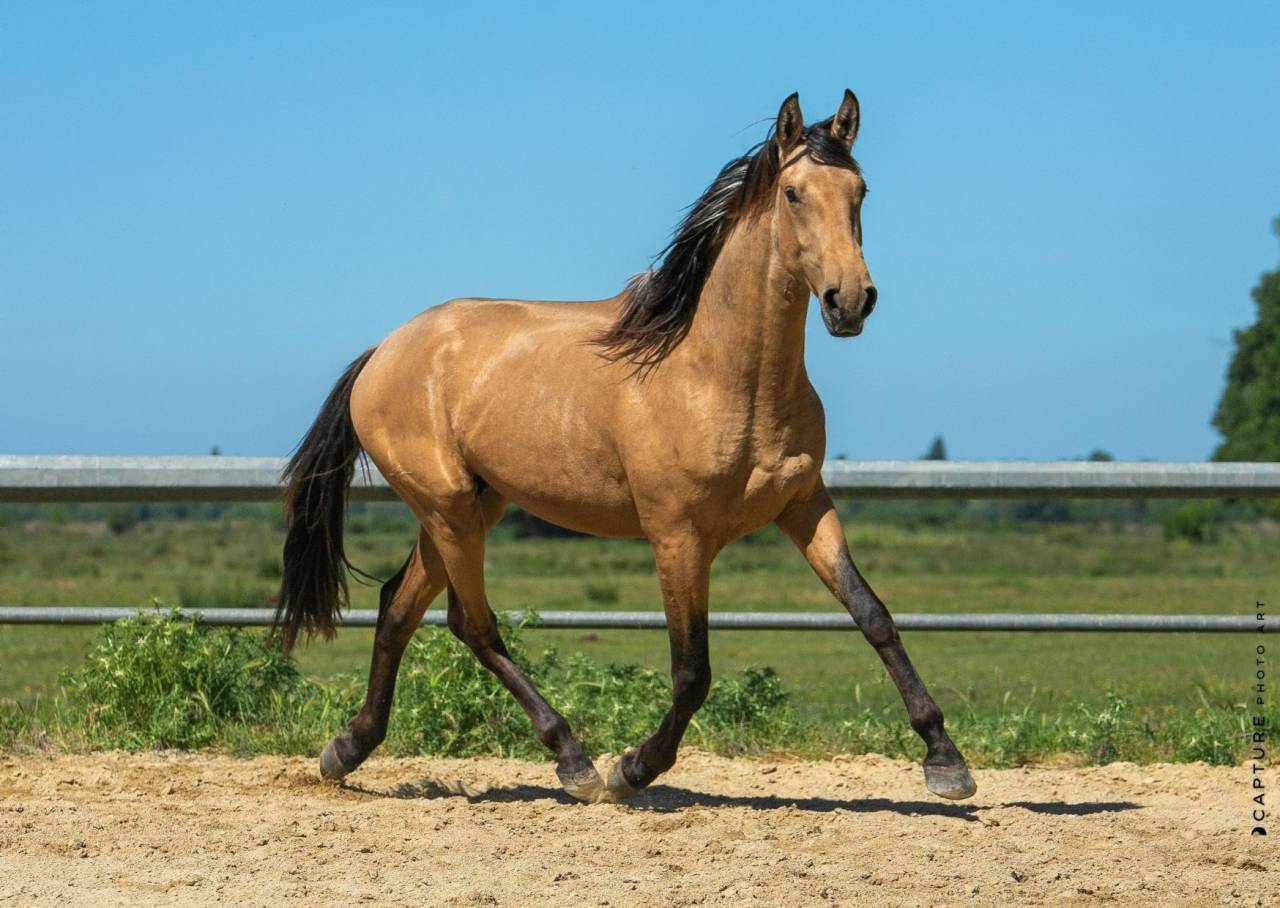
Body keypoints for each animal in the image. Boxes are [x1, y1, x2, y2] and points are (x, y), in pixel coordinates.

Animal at [274, 90, 977, 803]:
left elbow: (873, 614)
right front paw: (633, 767)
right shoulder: (677, 534)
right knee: (473, 625)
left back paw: (346, 750)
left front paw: (945, 761)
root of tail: (381, 352)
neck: (717, 375)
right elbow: (692, 670)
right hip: (449, 511)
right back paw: (575, 762)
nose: (850, 301)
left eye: (860, 191)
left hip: (469, 507)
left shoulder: (804, 504)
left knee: (399, 608)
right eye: (793, 193)